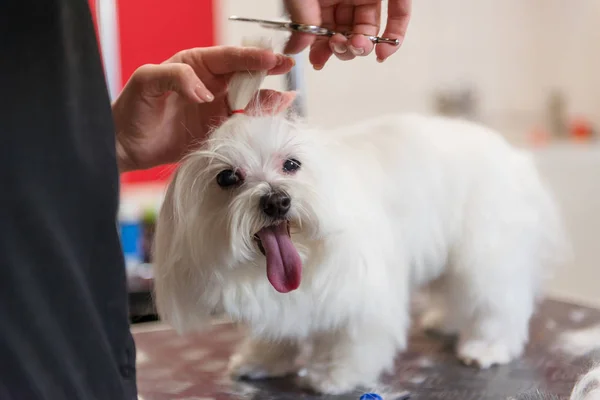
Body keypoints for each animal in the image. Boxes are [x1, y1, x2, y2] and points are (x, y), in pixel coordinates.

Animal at [152, 39, 564, 396]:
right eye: (227, 178)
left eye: (291, 164)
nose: (277, 200)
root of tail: (511, 154)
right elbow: (278, 331)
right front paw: (262, 360)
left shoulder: (362, 289)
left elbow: (352, 338)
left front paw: (334, 374)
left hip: (484, 252)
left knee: (498, 301)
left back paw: (487, 346)